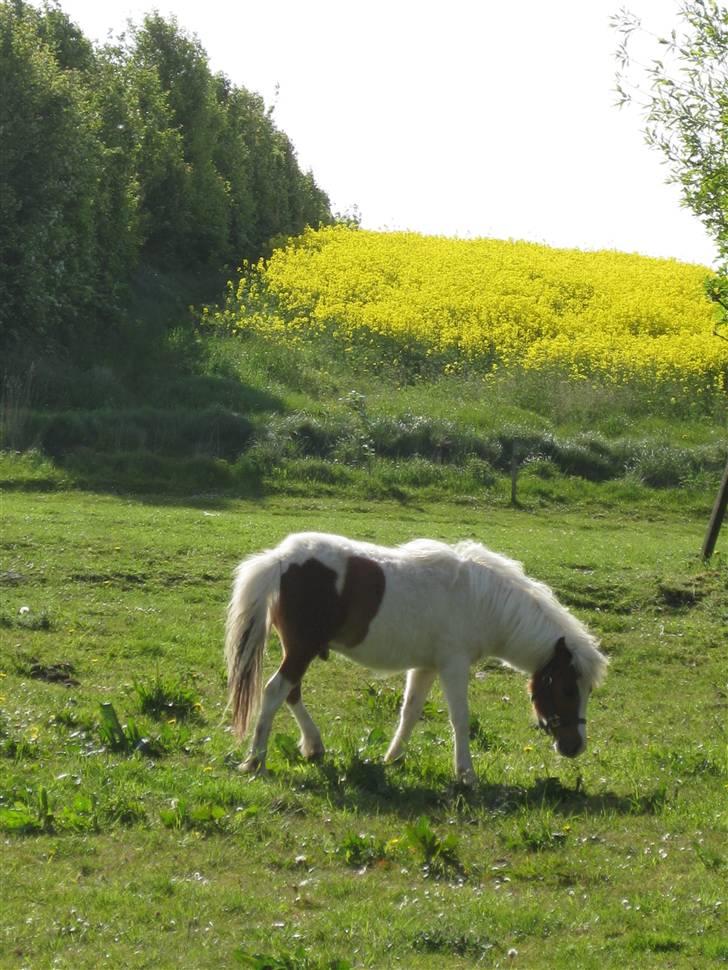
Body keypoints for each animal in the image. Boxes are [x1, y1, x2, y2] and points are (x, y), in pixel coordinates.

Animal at [223, 532, 608, 784]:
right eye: (568, 689)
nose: (575, 746)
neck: (480, 600)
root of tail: (281, 558)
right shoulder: (453, 667)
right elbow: (460, 719)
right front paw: (466, 775)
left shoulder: (425, 667)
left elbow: (409, 713)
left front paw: (392, 758)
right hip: (301, 650)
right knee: (275, 692)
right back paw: (255, 760)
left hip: (300, 651)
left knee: (291, 693)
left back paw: (313, 747)